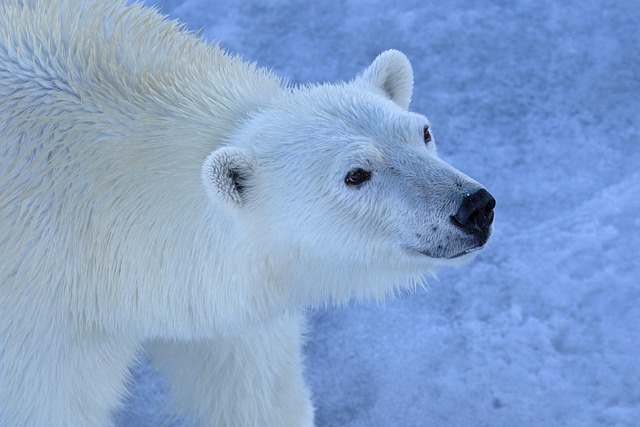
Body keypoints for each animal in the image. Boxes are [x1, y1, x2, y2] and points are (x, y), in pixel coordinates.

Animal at [0, 0, 495, 426]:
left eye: (423, 133)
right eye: (356, 174)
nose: (474, 207)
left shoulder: (222, 293)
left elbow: (252, 389)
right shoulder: (40, 324)